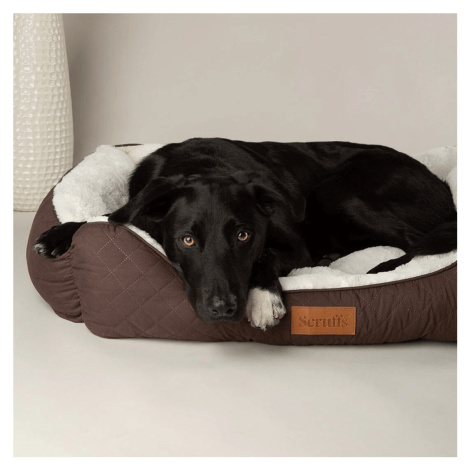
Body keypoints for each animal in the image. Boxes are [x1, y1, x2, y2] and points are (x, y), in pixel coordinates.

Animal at [34, 138, 457, 330]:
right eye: (187, 239)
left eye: (243, 236)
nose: (223, 309)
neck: (204, 166)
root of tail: (444, 187)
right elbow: (107, 216)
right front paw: (59, 233)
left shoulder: (294, 247)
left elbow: (266, 257)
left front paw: (264, 299)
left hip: (340, 192)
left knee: (420, 239)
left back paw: (380, 268)